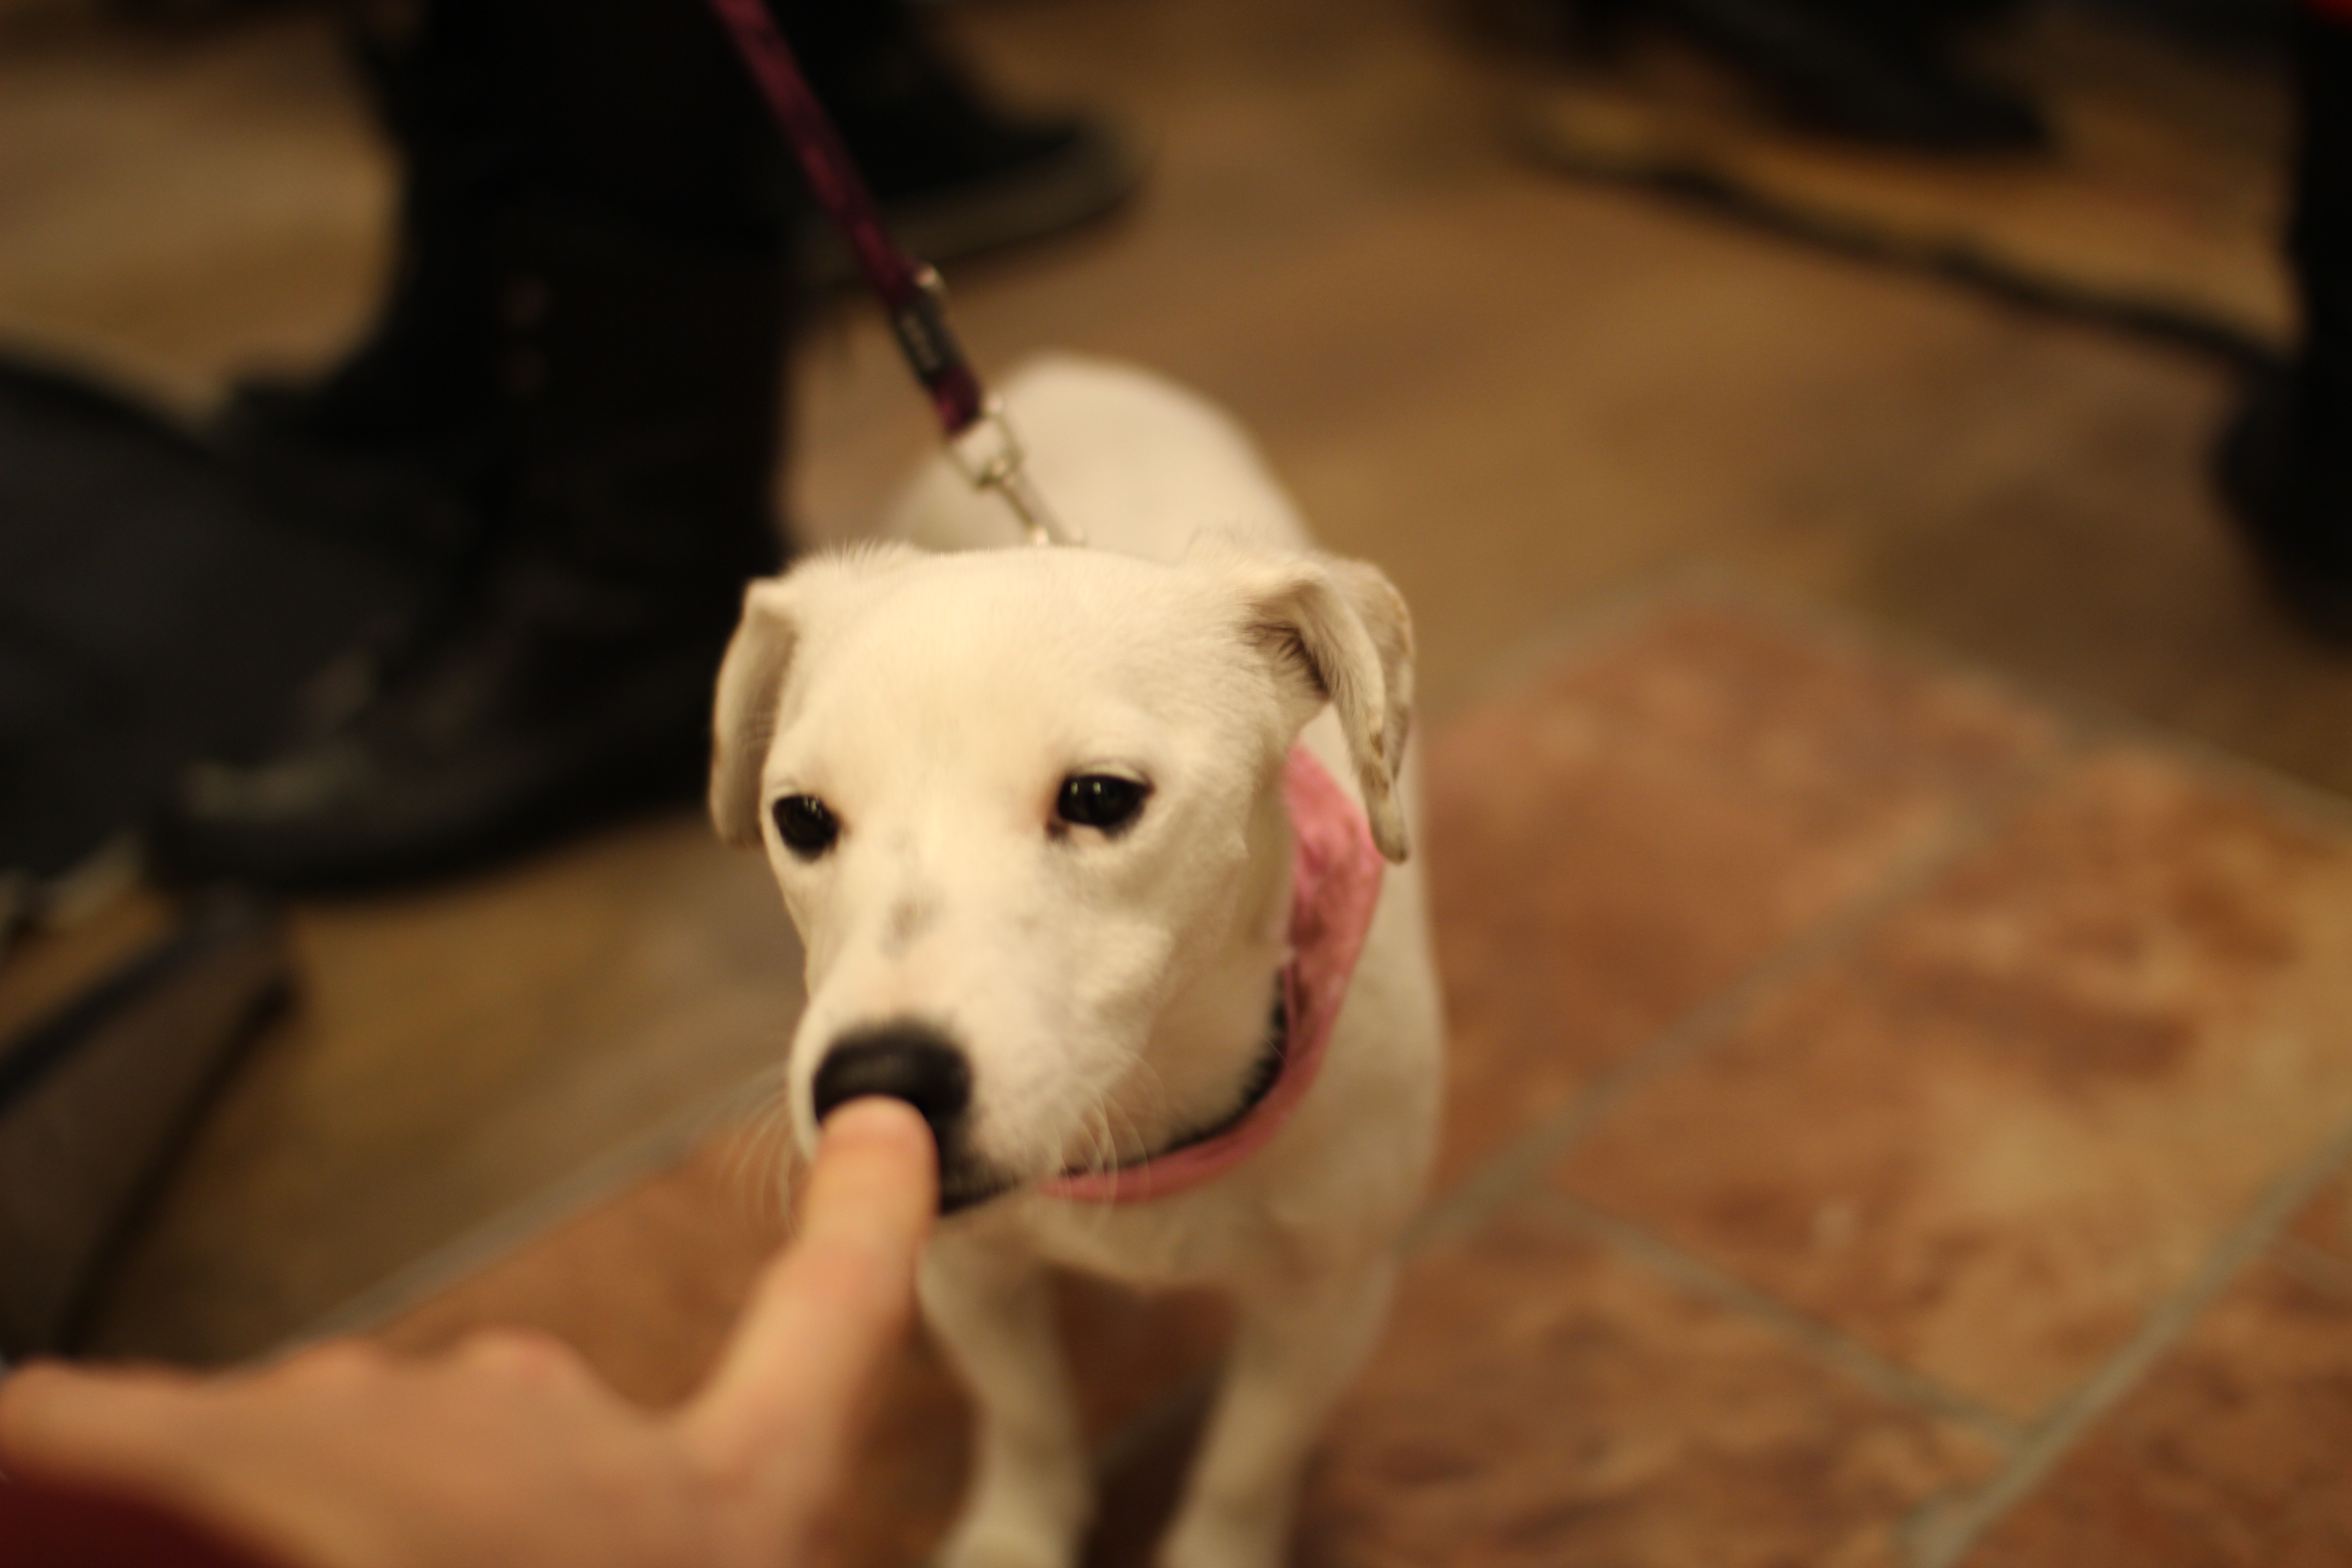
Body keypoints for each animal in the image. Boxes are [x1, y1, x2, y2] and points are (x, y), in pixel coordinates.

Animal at [709, 355, 1443, 1568]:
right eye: (800, 817)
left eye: (1100, 796)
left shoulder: (1329, 1302)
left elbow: (1245, 1465)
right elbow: (1027, 1417)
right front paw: (1015, 1535)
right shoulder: (967, 1271)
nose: (878, 1081)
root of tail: (1060, 372)